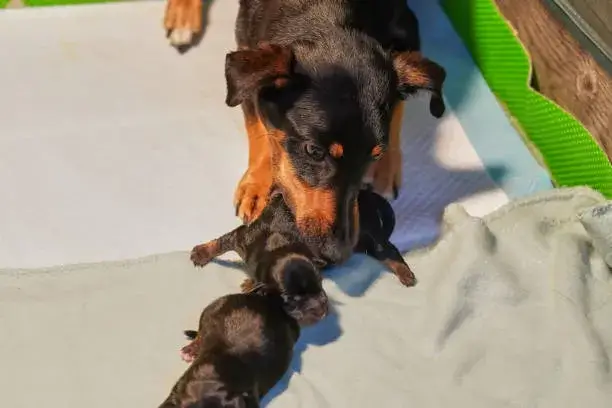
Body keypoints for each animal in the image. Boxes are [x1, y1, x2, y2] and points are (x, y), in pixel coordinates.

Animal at [165, 0, 448, 266]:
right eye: (313, 150)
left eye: (374, 155)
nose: (339, 254)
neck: (329, 14)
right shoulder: (245, 49)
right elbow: (257, 126)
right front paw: (257, 185)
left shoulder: (408, 28)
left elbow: (400, 103)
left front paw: (387, 166)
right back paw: (182, 15)